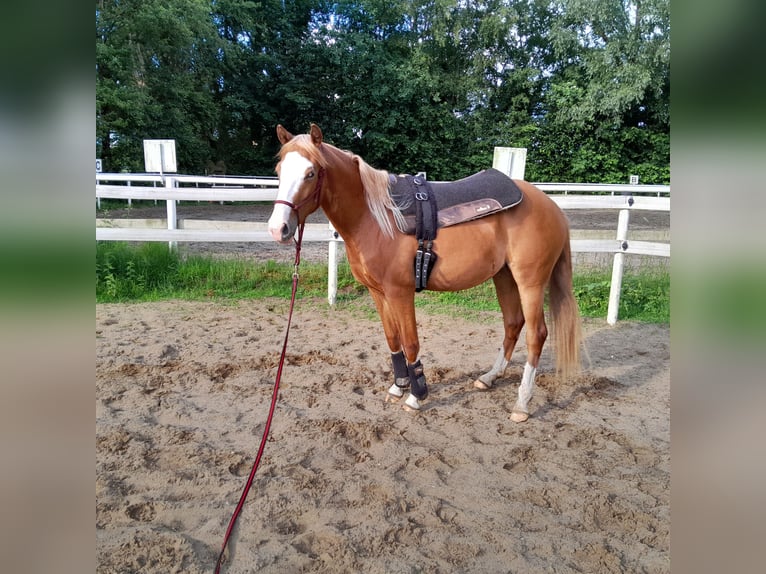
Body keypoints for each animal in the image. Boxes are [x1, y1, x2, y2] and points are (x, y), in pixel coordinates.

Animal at [268, 124, 581, 422]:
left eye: (310, 173)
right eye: (279, 171)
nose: (277, 229)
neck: (375, 218)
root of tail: (552, 206)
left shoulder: (400, 292)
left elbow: (410, 342)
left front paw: (416, 396)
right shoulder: (378, 292)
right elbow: (392, 339)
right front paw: (398, 386)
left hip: (530, 282)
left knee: (536, 334)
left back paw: (522, 404)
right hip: (504, 276)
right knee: (513, 324)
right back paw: (490, 378)